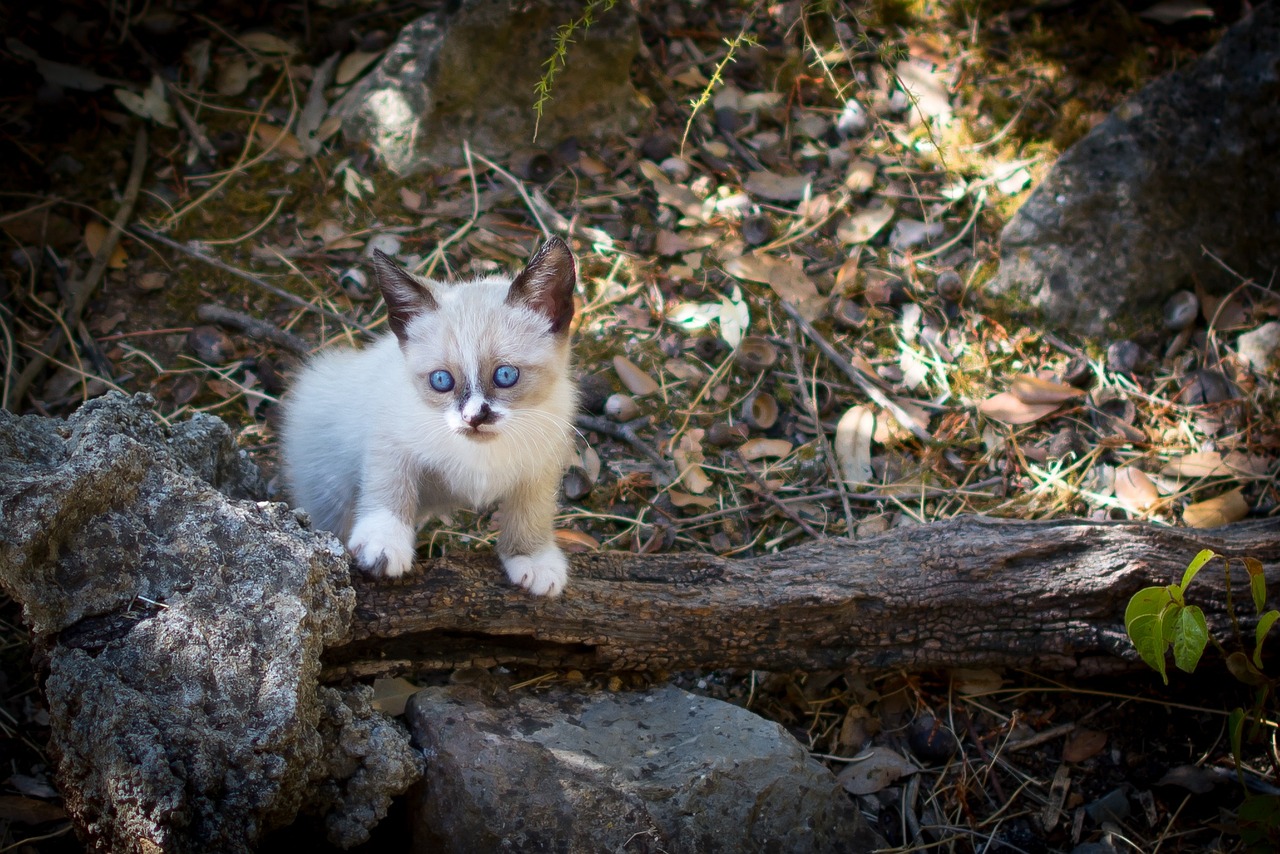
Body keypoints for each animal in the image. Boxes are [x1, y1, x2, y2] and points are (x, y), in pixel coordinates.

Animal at [284, 236, 581, 599]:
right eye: (442, 381)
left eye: (506, 375)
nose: (474, 417)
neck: (481, 453)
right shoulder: (391, 438)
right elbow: (389, 486)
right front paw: (384, 544)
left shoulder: (542, 461)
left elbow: (532, 510)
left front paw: (532, 558)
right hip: (329, 488)